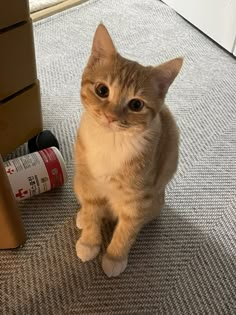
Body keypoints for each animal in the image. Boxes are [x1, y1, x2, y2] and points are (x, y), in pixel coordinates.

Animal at [74, 23, 183, 278]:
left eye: (136, 104)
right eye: (102, 90)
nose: (110, 117)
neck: (111, 141)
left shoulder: (138, 198)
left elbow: (127, 229)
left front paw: (115, 257)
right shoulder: (89, 182)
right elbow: (92, 211)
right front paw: (89, 242)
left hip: (154, 201)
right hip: (78, 179)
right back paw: (82, 216)